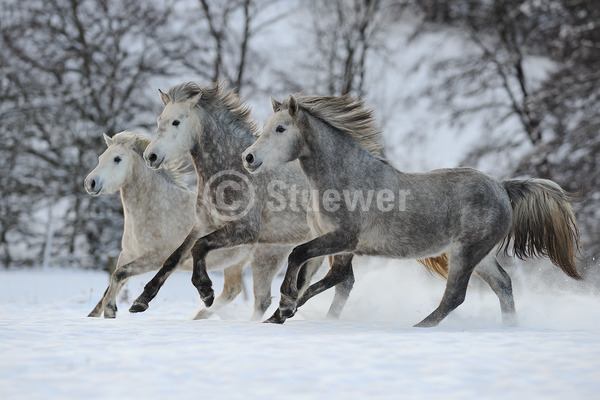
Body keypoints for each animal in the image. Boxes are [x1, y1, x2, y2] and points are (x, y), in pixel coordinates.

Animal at [84, 130, 288, 318]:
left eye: (117, 159)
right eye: (101, 157)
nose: (90, 183)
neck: (157, 208)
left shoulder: (154, 258)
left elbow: (118, 275)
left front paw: (111, 311)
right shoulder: (127, 254)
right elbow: (112, 283)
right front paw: (96, 315)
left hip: (264, 260)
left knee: (261, 300)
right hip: (235, 263)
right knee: (233, 290)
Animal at [240, 94, 580, 328]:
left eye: (281, 128)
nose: (248, 157)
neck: (346, 177)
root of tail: (502, 187)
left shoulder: (344, 239)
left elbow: (302, 259)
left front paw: (286, 305)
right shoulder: (331, 242)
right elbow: (316, 274)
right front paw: (279, 315)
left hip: (466, 252)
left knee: (455, 296)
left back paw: (418, 327)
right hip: (479, 255)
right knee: (503, 285)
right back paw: (510, 327)